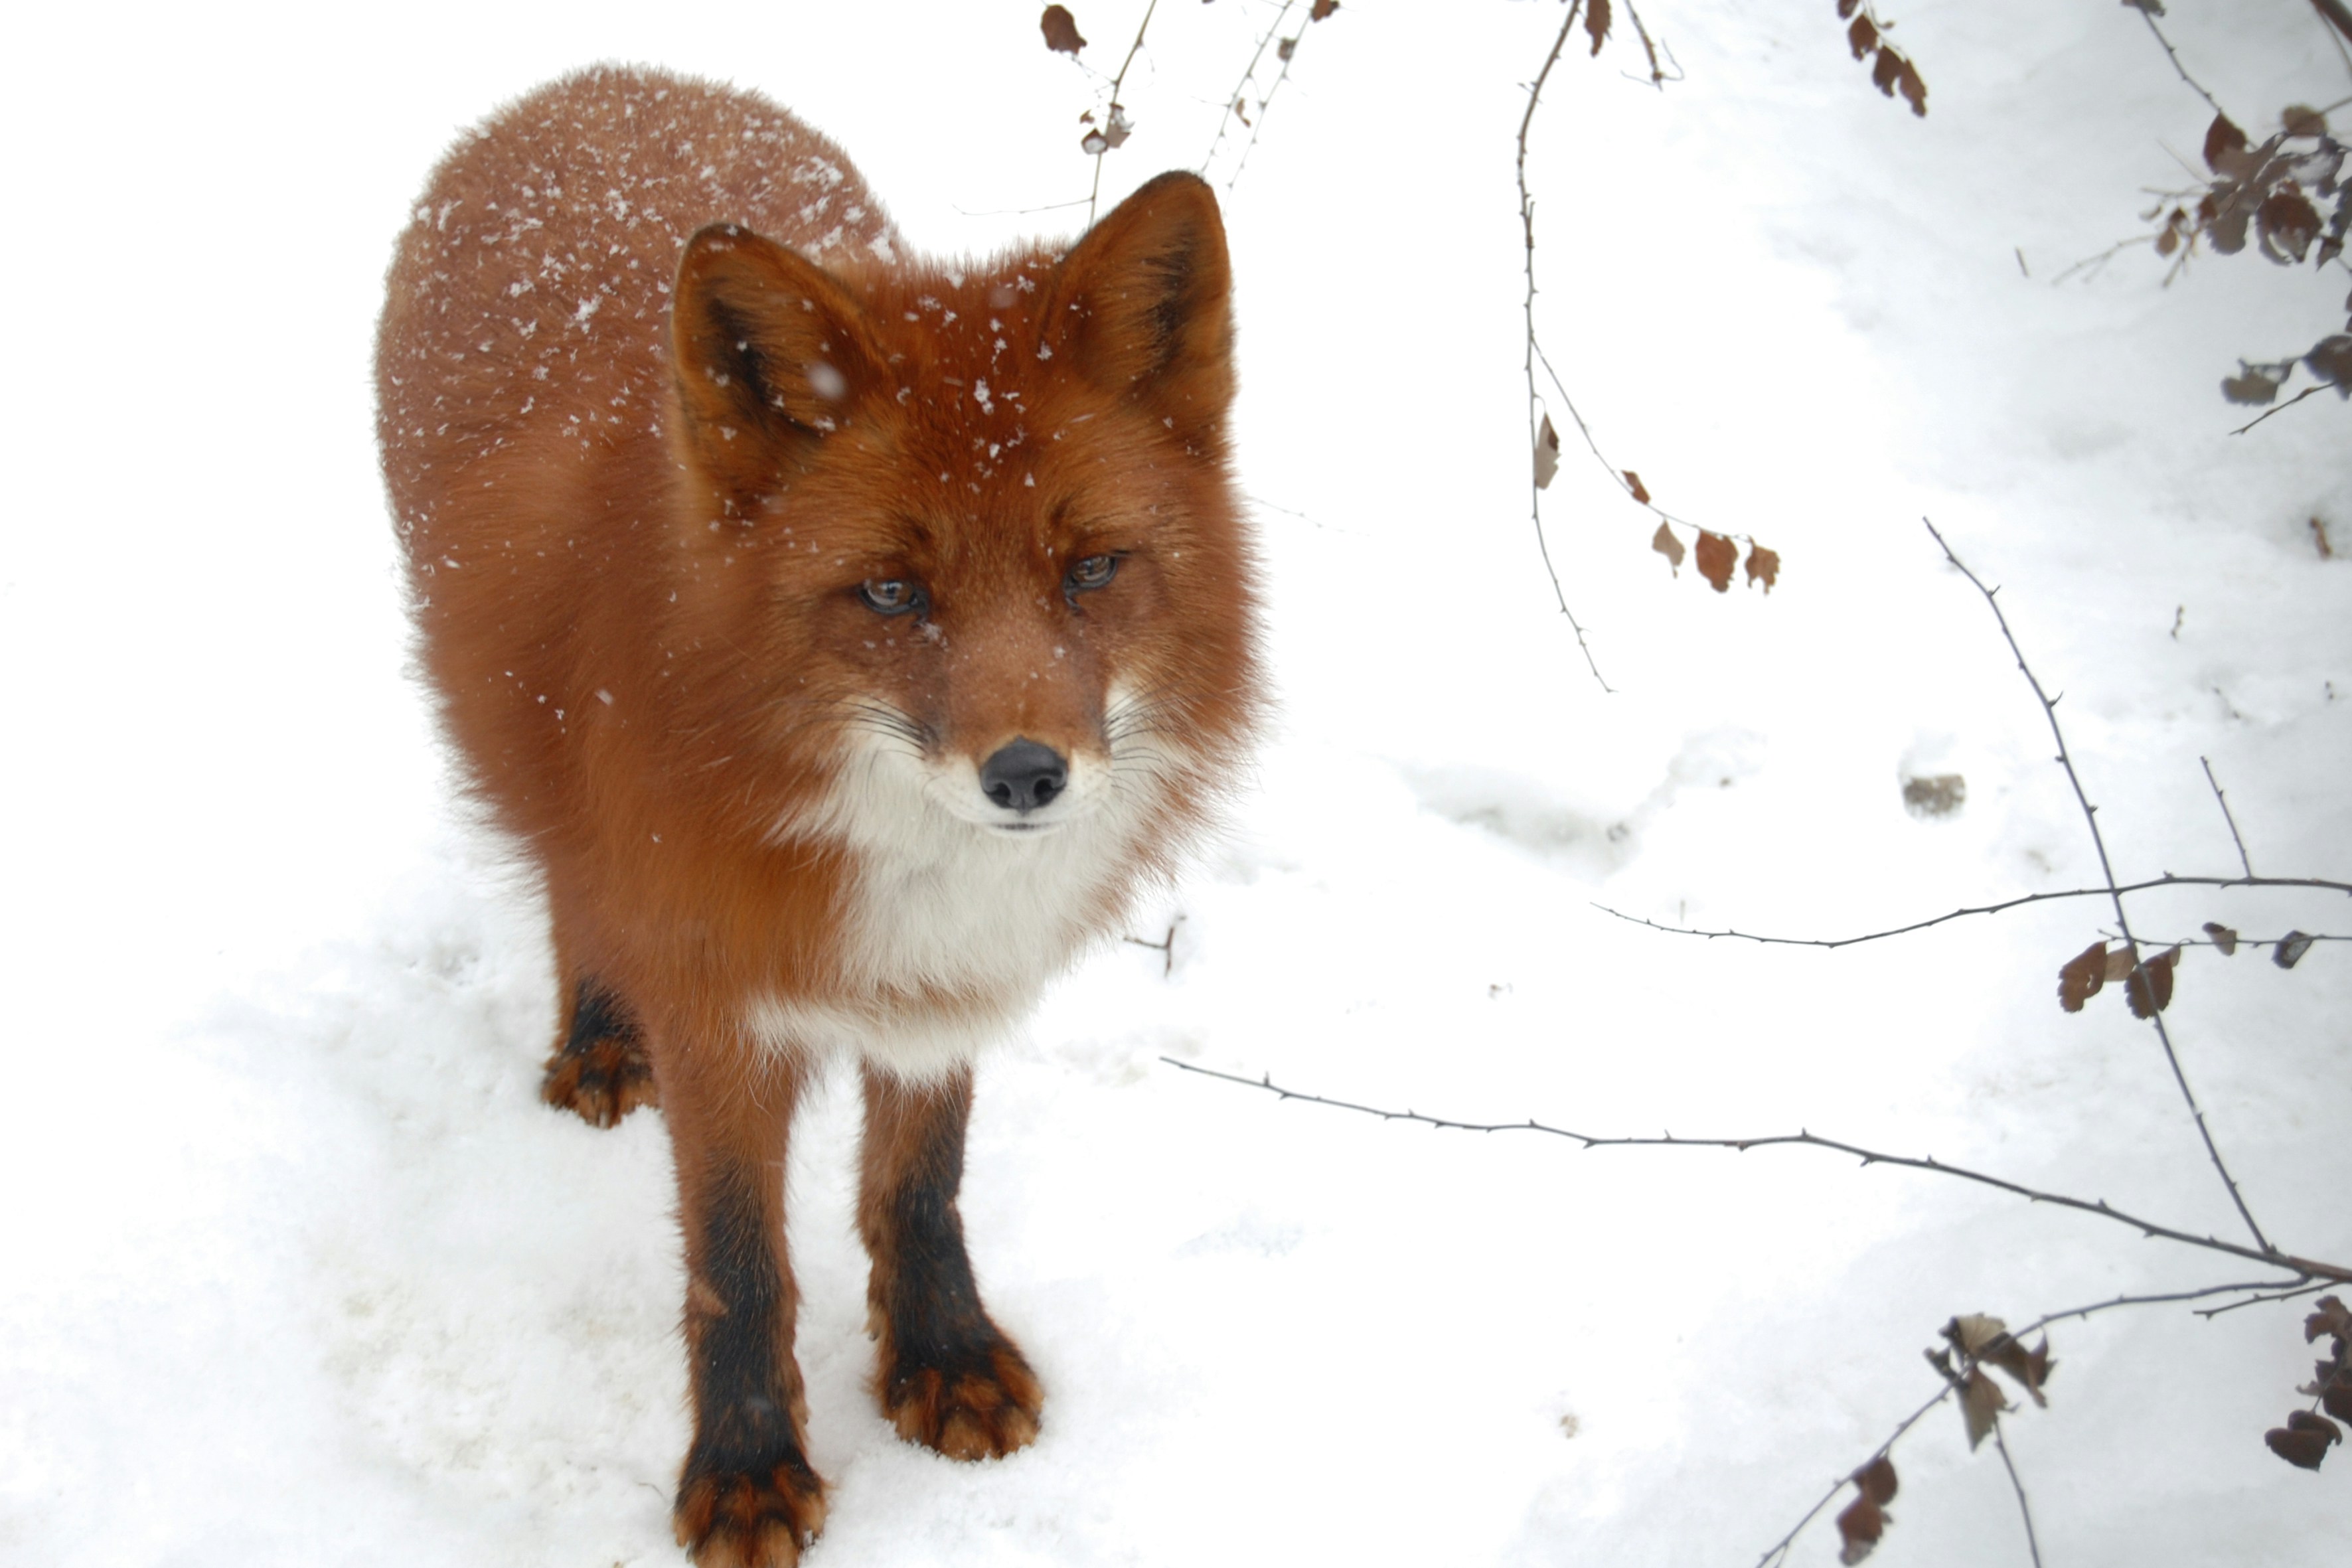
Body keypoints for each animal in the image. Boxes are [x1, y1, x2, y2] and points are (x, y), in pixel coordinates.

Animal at [374, 64, 1260, 1566]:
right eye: (893, 594)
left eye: (1089, 571)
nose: (1027, 775)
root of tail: (599, 80)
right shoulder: (716, 999)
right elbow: (739, 1263)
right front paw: (744, 1466)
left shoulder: (941, 981)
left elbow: (918, 1183)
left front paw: (941, 1359)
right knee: (569, 884)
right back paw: (597, 1036)